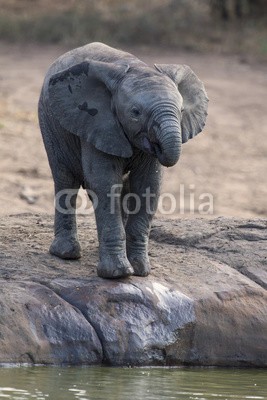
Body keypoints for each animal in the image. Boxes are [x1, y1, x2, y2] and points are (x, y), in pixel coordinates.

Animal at [38, 41, 209, 278]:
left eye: (182, 110)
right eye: (135, 112)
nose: (159, 148)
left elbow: (148, 185)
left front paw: (140, 270)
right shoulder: (98, 122)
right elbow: (105, 183)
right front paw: (118, 274)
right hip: (50, 122)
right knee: (65, 179)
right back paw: (66, 254)